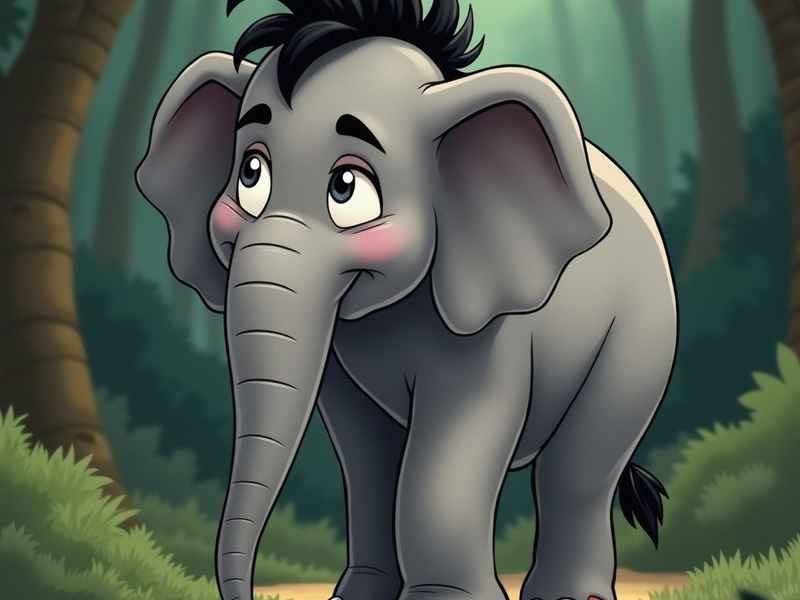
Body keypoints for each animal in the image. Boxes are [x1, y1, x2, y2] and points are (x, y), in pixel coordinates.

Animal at [136, 1, 677, 600]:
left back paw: (570, 594)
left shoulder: (491, 331)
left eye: (347, 187)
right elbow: (364, 447)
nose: (249, 591)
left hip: (642, 334)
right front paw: (354, 598)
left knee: (580, 465)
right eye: (251, 173)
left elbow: (449, 450)